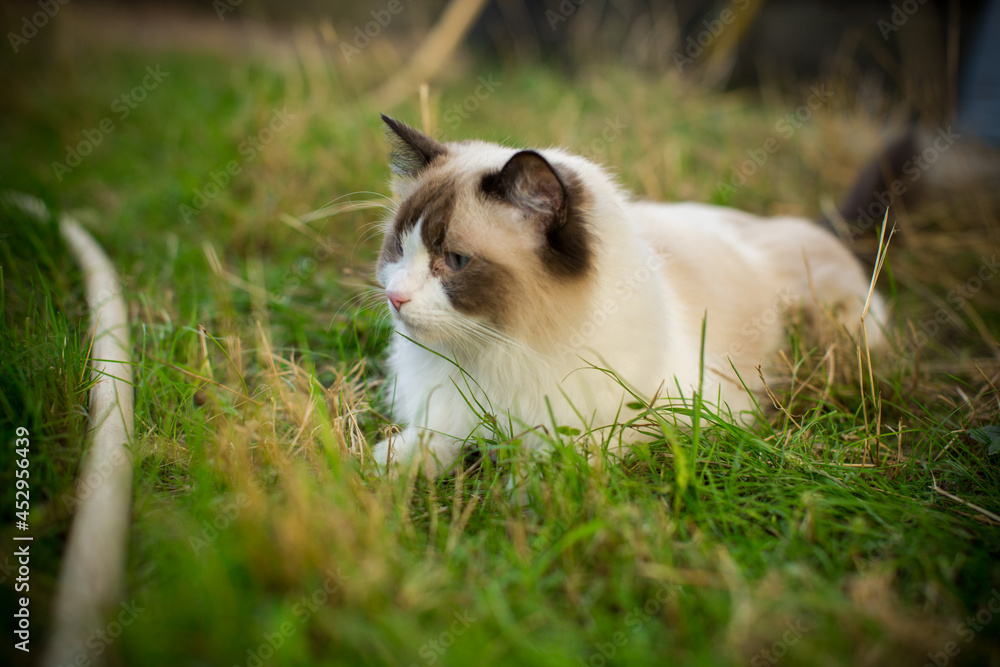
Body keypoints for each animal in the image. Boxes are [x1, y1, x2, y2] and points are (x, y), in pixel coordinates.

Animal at [372, 117, 888, 478]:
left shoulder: (675, 417)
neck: (497, 352)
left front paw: (529, 493)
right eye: (399, 248)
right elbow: (415, 450)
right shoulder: (447, 416)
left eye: (455, 261)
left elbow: (560, 464)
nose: (395, 298)